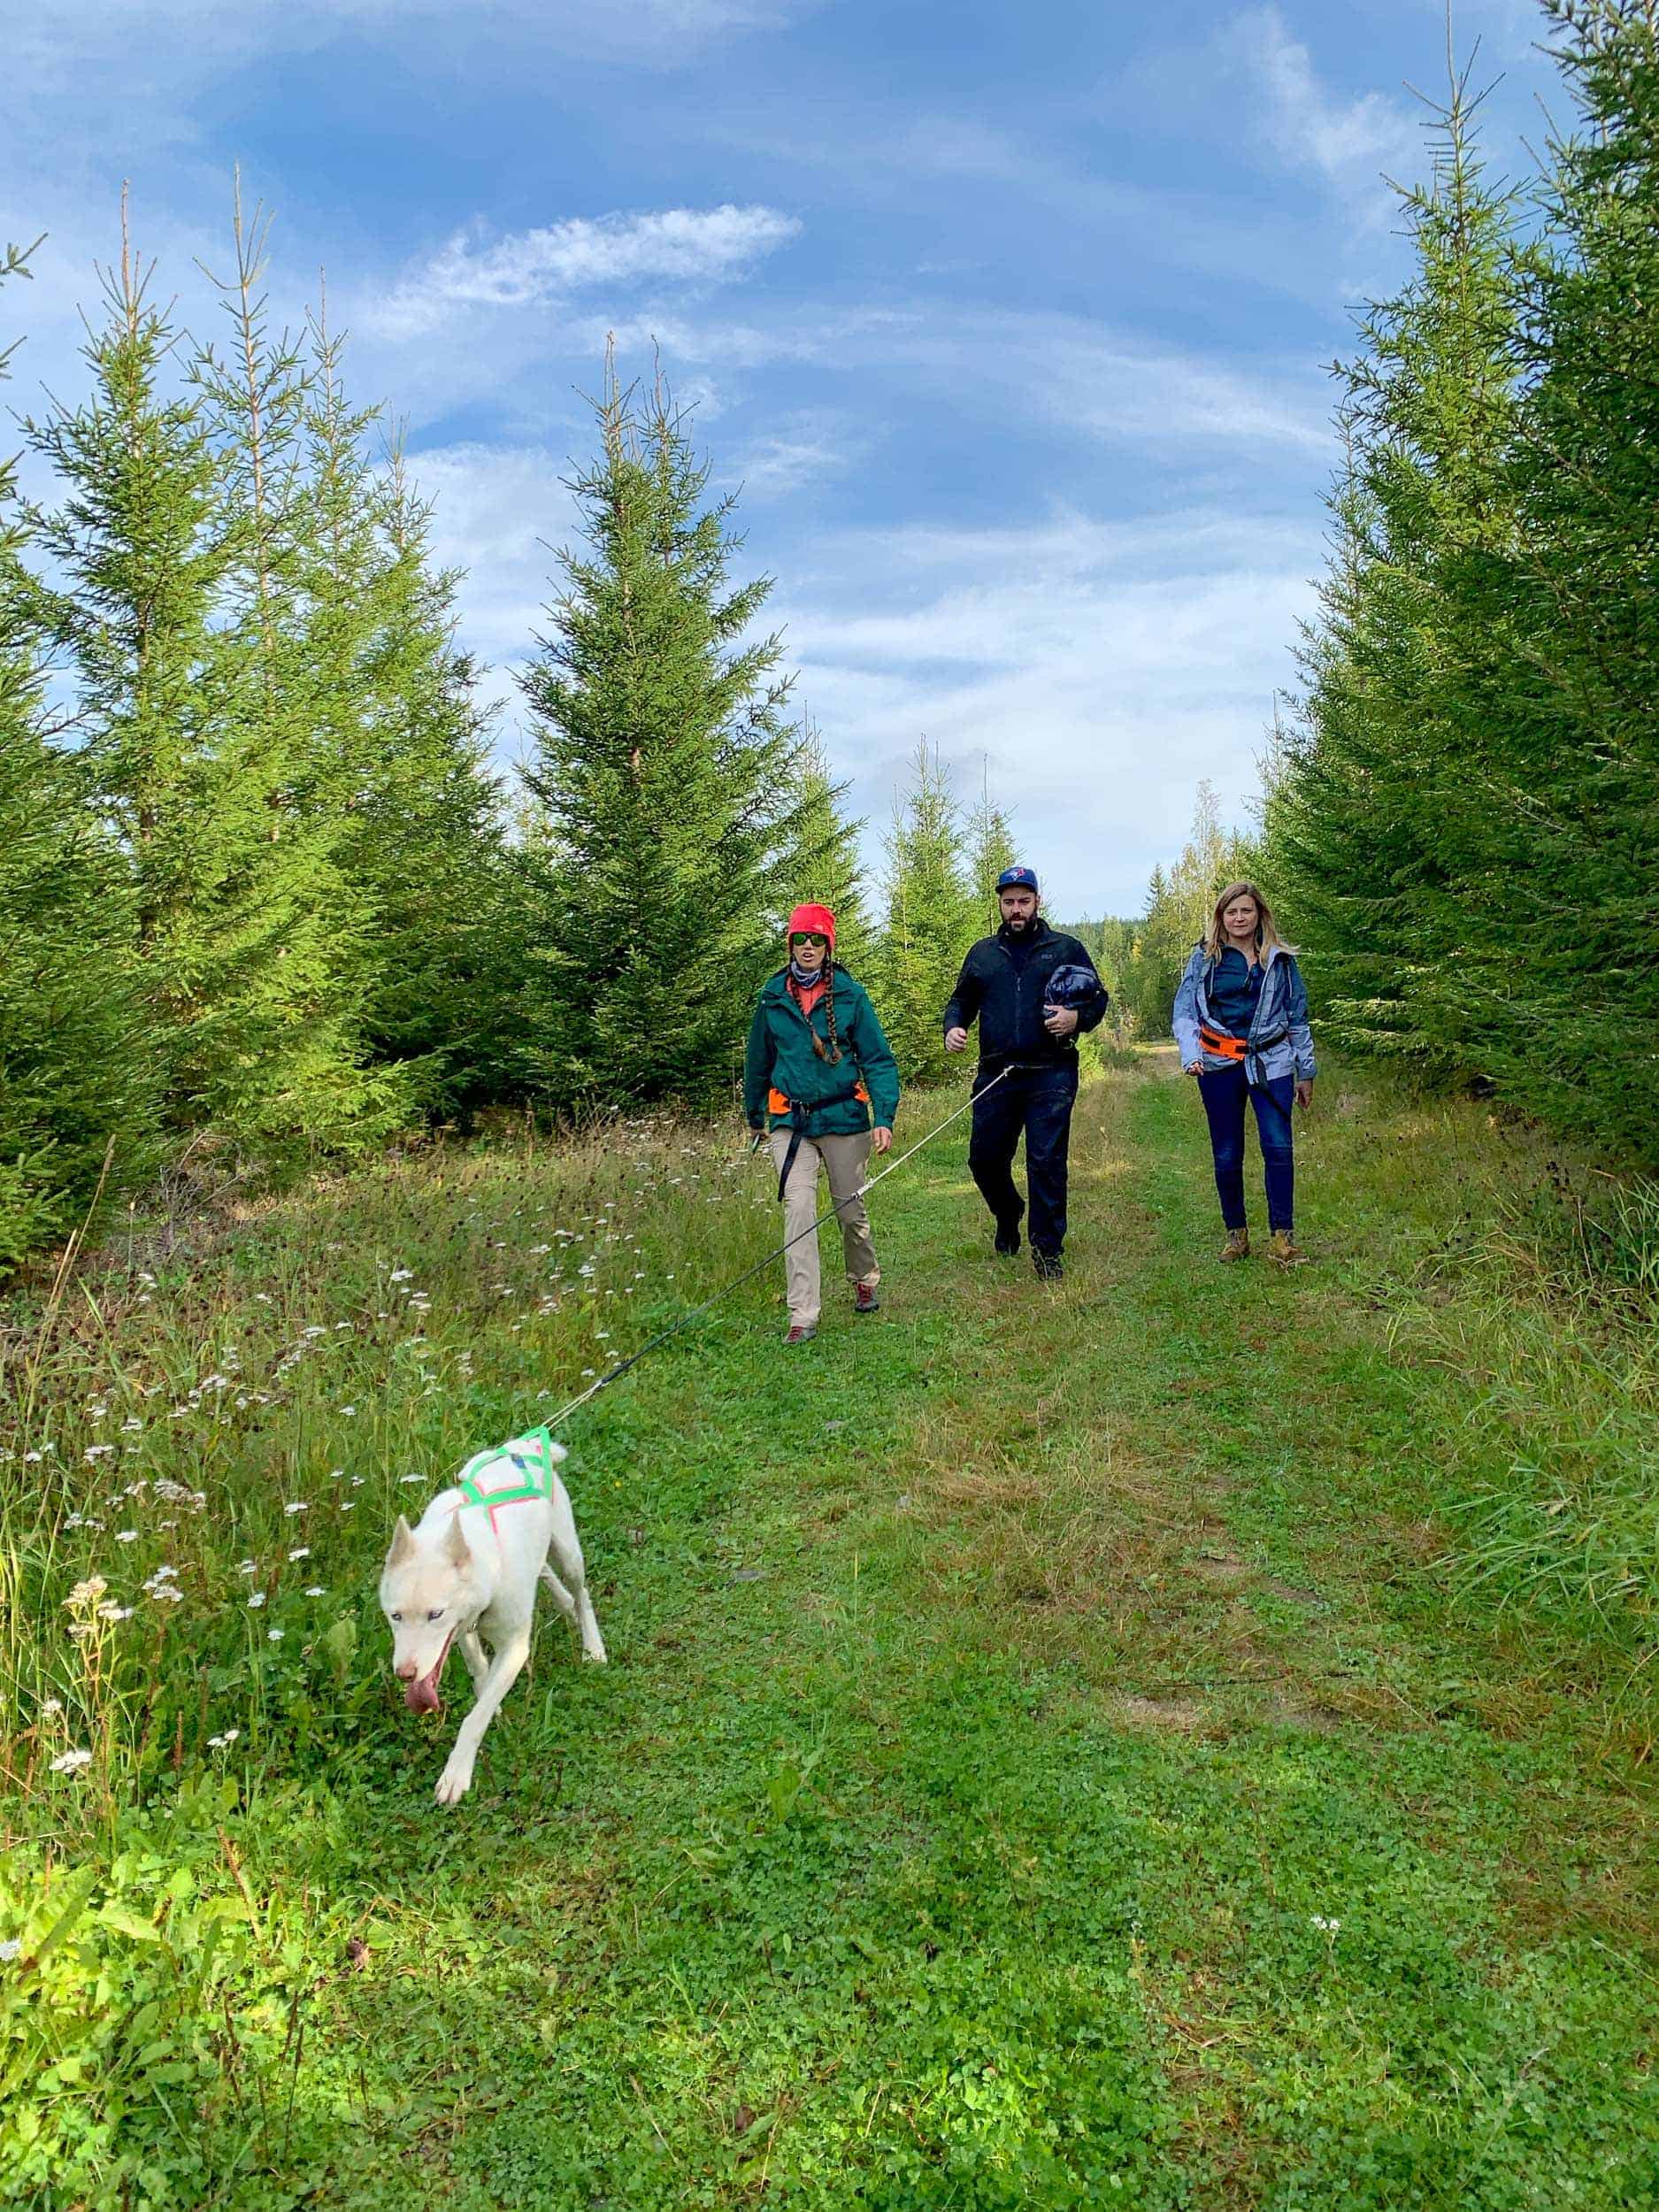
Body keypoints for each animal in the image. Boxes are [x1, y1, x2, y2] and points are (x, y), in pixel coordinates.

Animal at [380, 1425, 606, 1805]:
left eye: (435, 1614)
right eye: (395, 1616)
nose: (405, 1674)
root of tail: (522, 1446)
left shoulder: (514, 1647)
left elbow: (475, 1718)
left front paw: (456, 1774)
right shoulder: (464, 1630)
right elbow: (480, 1675)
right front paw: (490, 1700)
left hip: (567, 1551)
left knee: (581, 1592)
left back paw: (592, 1644)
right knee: (545, 1573)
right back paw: (565, 1607)